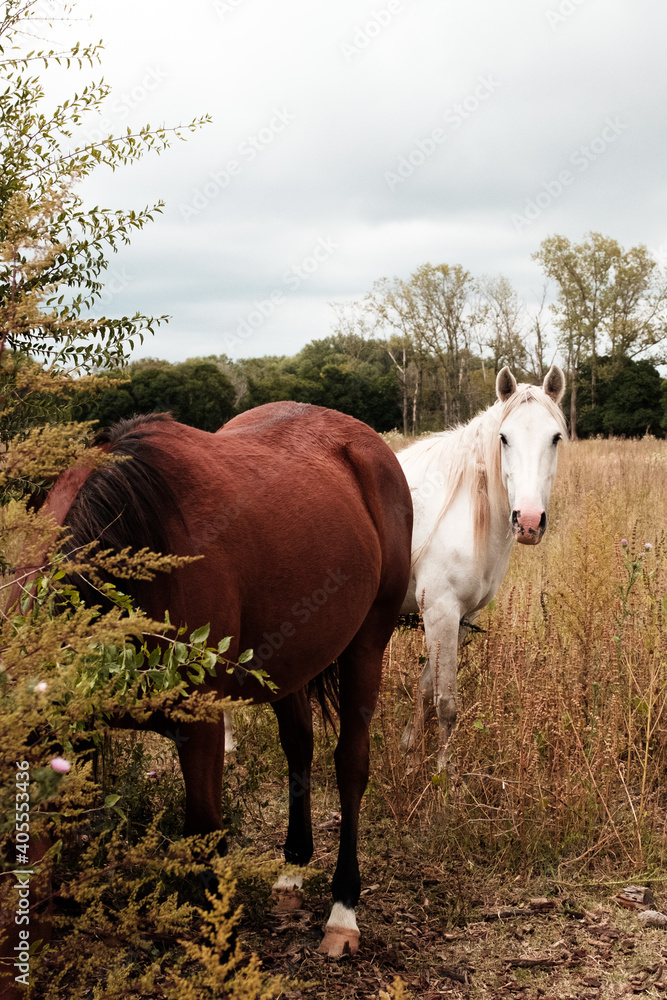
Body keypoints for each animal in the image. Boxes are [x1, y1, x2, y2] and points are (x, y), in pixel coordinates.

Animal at [20, 401, 413, 958]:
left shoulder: (200, 726)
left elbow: (205, 838)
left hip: (367, 646)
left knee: (350, 764)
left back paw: (343, 910)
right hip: (288, 662)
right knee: (299, 747)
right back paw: (292, 871)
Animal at [398, 366, 567, 768]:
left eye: (555, 437)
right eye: (503, 438)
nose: (529, 521)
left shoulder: (460, 618)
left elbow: (426, 687)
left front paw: (410, 745)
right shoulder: (439, 612)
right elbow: (446, 702)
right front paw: (445, 773)